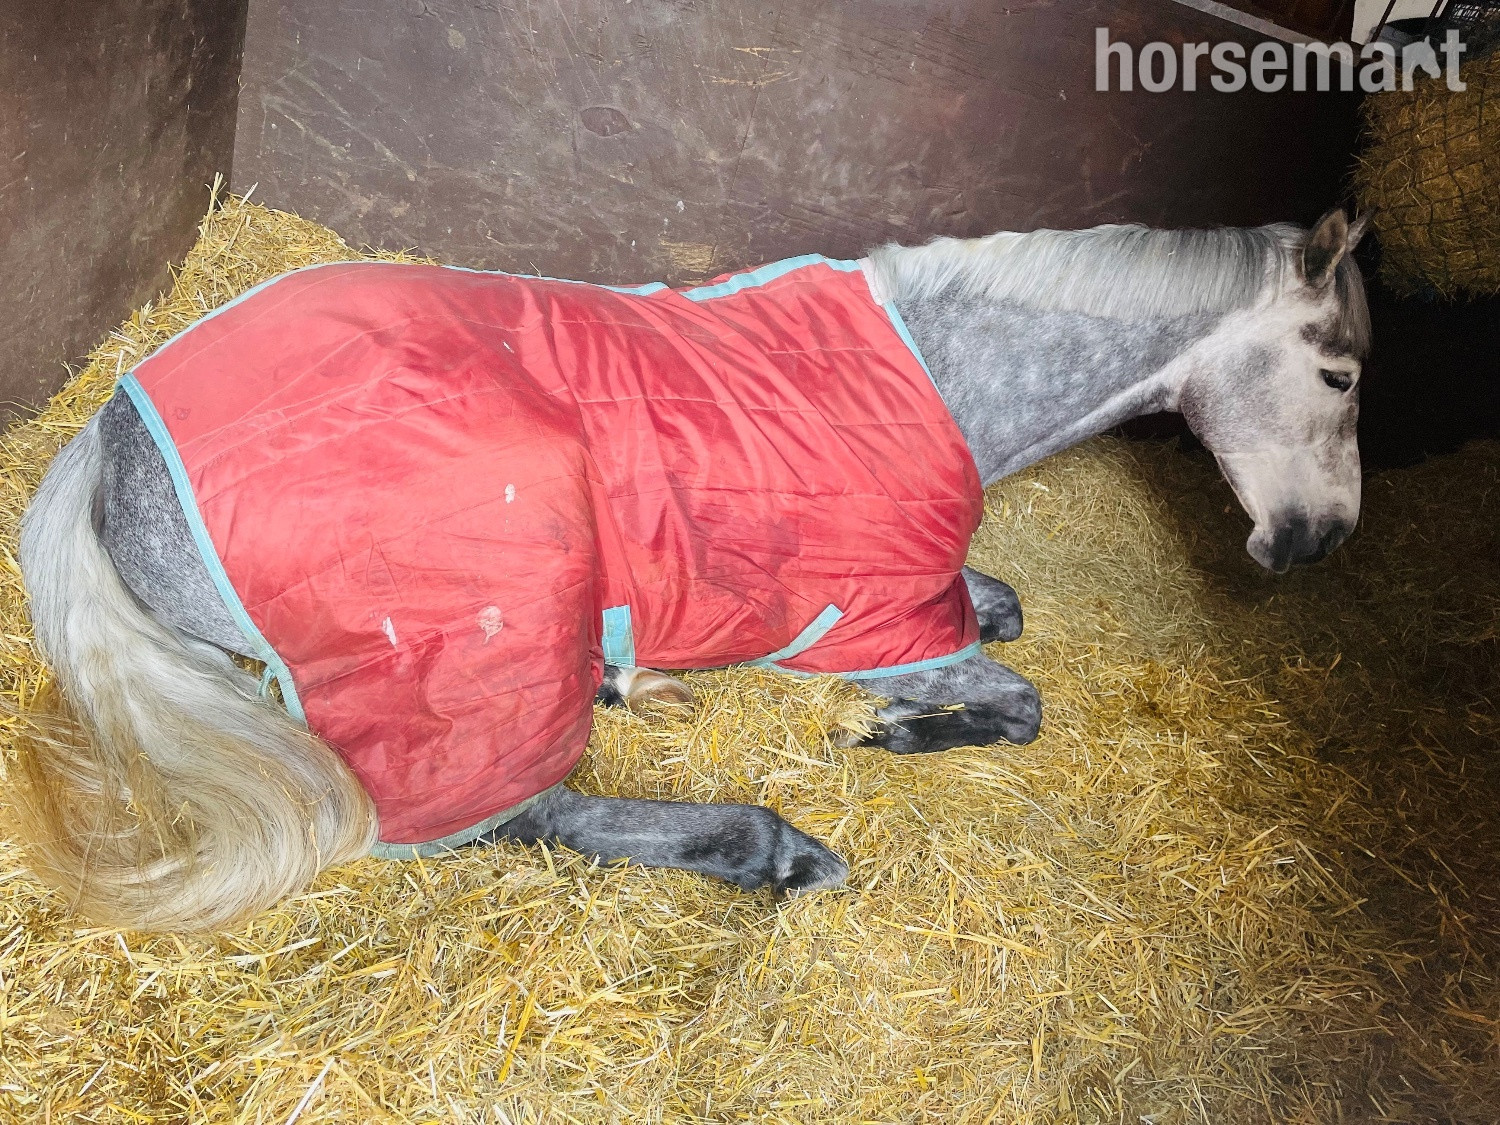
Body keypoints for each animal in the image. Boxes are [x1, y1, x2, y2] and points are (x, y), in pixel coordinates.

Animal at [13, 207, 1370, 932]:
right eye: (1342, 373)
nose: (1320, 539)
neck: (943, 378)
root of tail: (112, 434)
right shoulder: (877, 617)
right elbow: (1017, 701)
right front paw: (896, 734)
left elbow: (1009, 613)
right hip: (481, 641)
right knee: (506, 810)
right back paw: (768, 846)